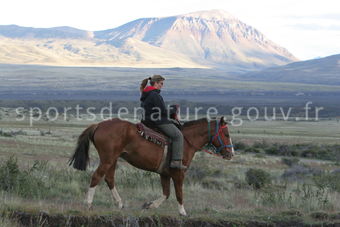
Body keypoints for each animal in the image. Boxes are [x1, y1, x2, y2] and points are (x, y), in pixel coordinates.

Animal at [69, 116, 234, 215]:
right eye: (226, 134)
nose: (231, 153)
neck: (187, 141)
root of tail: (98, 125)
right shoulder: (179, 173)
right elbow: (179, 193)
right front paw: (182, 212)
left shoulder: (165, 174)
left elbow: (166, 193)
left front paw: (149, 205)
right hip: (108, 159)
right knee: (96, 176)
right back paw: (89, 204)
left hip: (113, 160)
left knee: (109, 179)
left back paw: (120, 203)